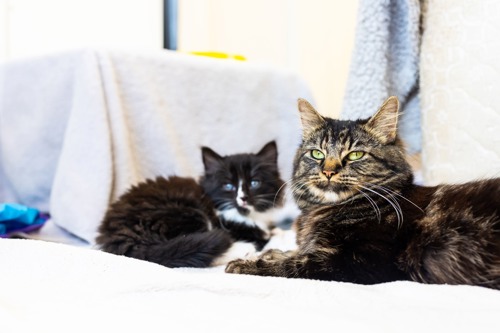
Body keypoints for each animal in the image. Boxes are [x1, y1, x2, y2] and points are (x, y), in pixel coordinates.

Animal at [95, 140, 284, 268]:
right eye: (228, 186)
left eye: (254, 183)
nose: (243, 198)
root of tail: (119, 236)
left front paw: (277, 230)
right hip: (184, 214)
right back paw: (244, 250)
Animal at [227, 95, 500, 288]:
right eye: (317, 153)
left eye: (356, 155)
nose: (328, 171)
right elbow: (293, 252)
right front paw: (266, 253)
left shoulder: (363, 261)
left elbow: (297, 263)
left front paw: (245, 264)